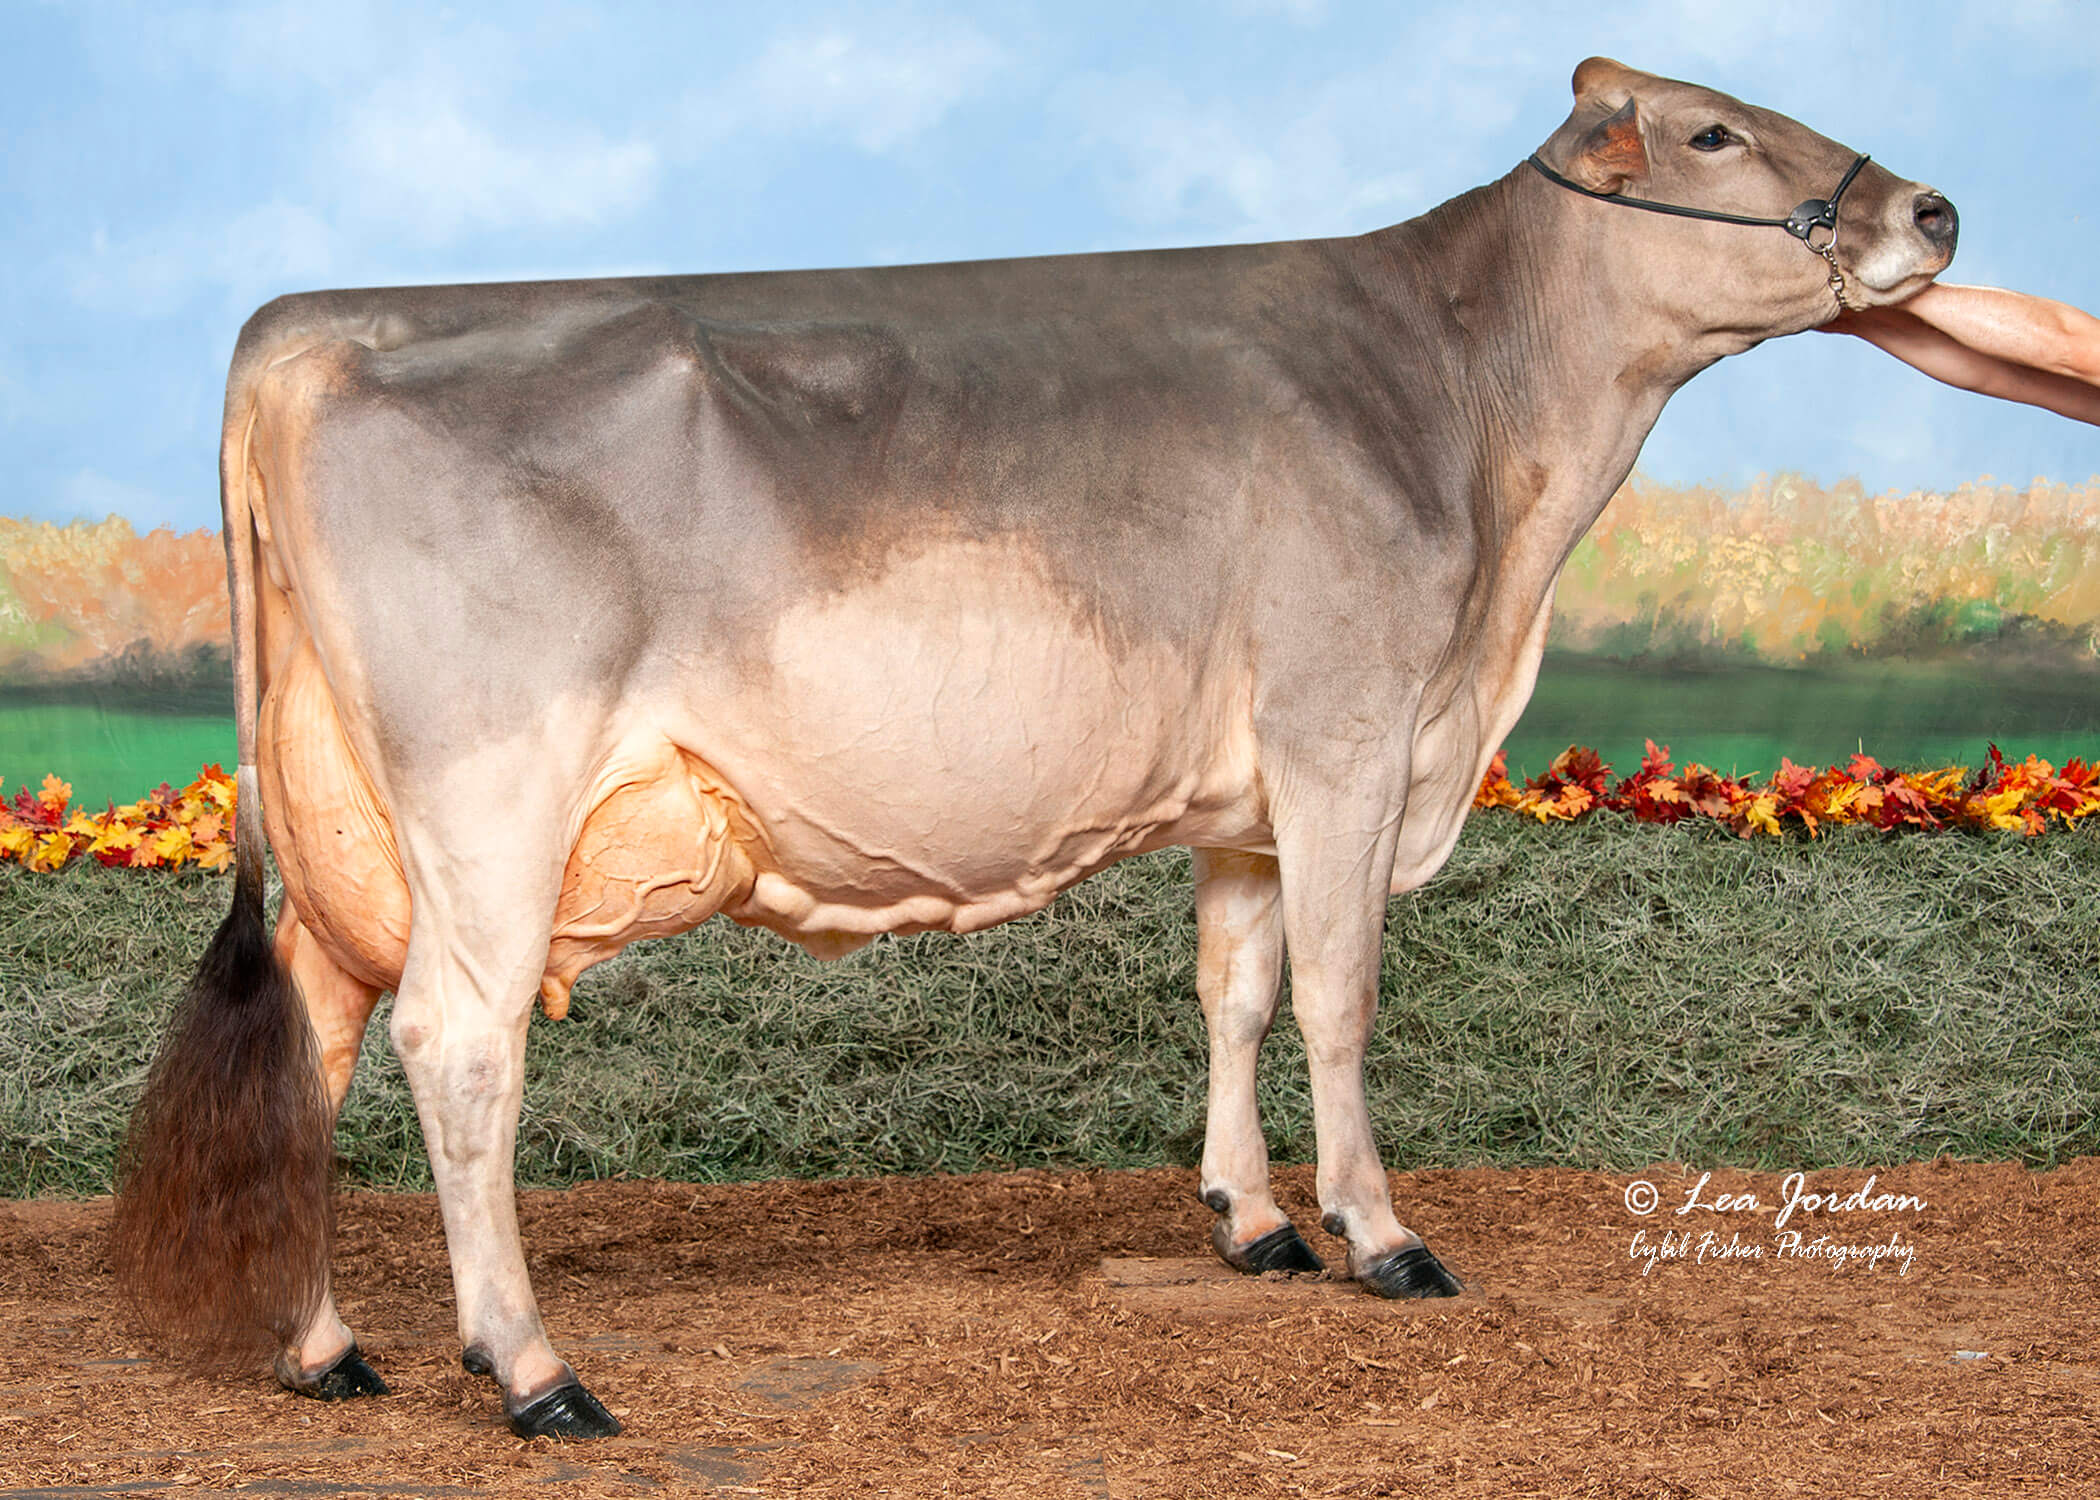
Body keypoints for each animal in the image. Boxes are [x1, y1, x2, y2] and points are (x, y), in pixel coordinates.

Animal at [112, 57, 1957, 1438]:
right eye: (1714, 130)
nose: (1930, 208)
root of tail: (311, 324)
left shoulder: (1251, 795)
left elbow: (1240, 987)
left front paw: (1254, 1219)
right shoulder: (1349, 732)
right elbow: (1343, 995)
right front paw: (1380, 1232)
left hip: (344, 823)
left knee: (315, 1042)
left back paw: (322, 1347)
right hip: (488, 802)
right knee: (457, 1046)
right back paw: (532, 1371)